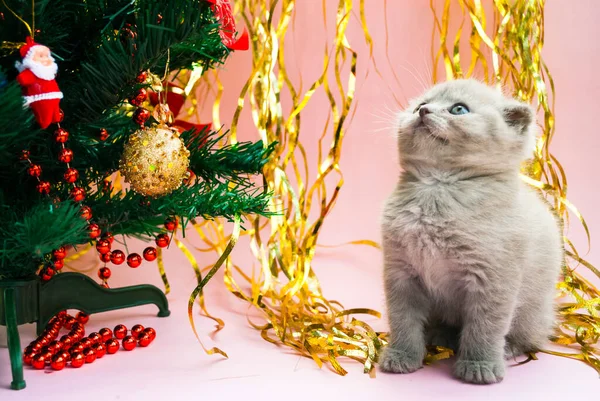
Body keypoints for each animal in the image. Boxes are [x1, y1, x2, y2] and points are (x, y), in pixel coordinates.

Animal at [380, 79, 564, 384]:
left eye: (458, 109)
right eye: (420, 105)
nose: (424, 112)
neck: (437, 187)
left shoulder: (492, 280)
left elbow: (485, 326)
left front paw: (479, 366)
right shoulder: (401, 273)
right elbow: (403, 321)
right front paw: (401, 356)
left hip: (533, 310)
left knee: (531, 337)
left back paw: (507, 349)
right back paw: (440, 337)